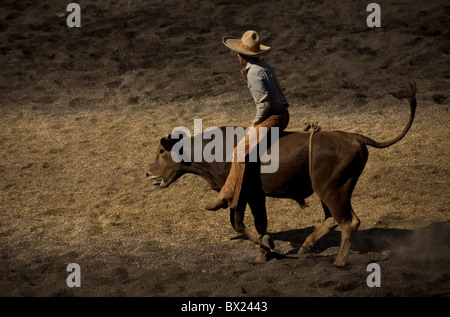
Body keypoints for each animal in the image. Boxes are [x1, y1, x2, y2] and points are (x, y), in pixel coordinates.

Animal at [148, 81, 418, 266]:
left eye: (161, 150)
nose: (148, 174)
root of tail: (354, 137)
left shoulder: (241, 195)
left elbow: (238, 224)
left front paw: (266, 246)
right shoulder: (256, 195)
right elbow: (260, 223)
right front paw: (263, 253)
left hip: (333, 189)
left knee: (348, 222)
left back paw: (339, 262)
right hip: (333, 189)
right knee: (334, 218)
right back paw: (307, 246)